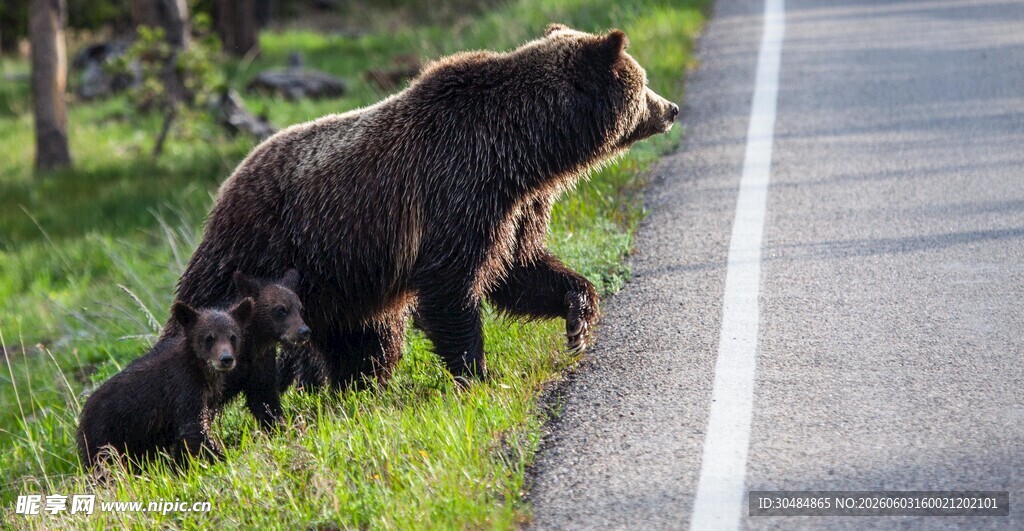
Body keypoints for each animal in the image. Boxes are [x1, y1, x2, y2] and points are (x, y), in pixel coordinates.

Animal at [77, 299, 253, 470]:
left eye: (233, 336)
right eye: (209, 338)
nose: (226, 359)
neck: (201, 370)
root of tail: (81, 417)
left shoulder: (206, 396)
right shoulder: (184, 388)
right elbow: (194, 429)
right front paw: (224, 457)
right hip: (105, 435)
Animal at [172, 24, 678, 389]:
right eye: (643, 84)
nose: (671, 108)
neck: (526, 151)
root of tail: (227, 183)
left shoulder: (516, 206)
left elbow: (519, 269)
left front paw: (578, 317)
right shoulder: (458, 189)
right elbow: (451, 287)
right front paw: (478, 373)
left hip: (341, 286)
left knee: (368, 342)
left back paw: (359, 388)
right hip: (262, 248)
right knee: (201, 308)